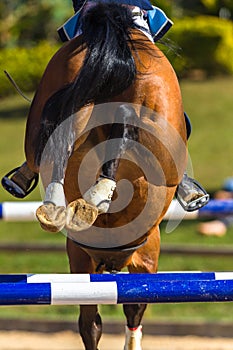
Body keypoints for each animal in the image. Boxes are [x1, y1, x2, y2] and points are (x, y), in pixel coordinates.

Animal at [24, 2, 187, 350]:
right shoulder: (144, 261)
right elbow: (128, 312)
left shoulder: (82, 262)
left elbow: (92, 324)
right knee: (125, 120)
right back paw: (96, 196)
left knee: (65, 127)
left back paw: (61, 206)